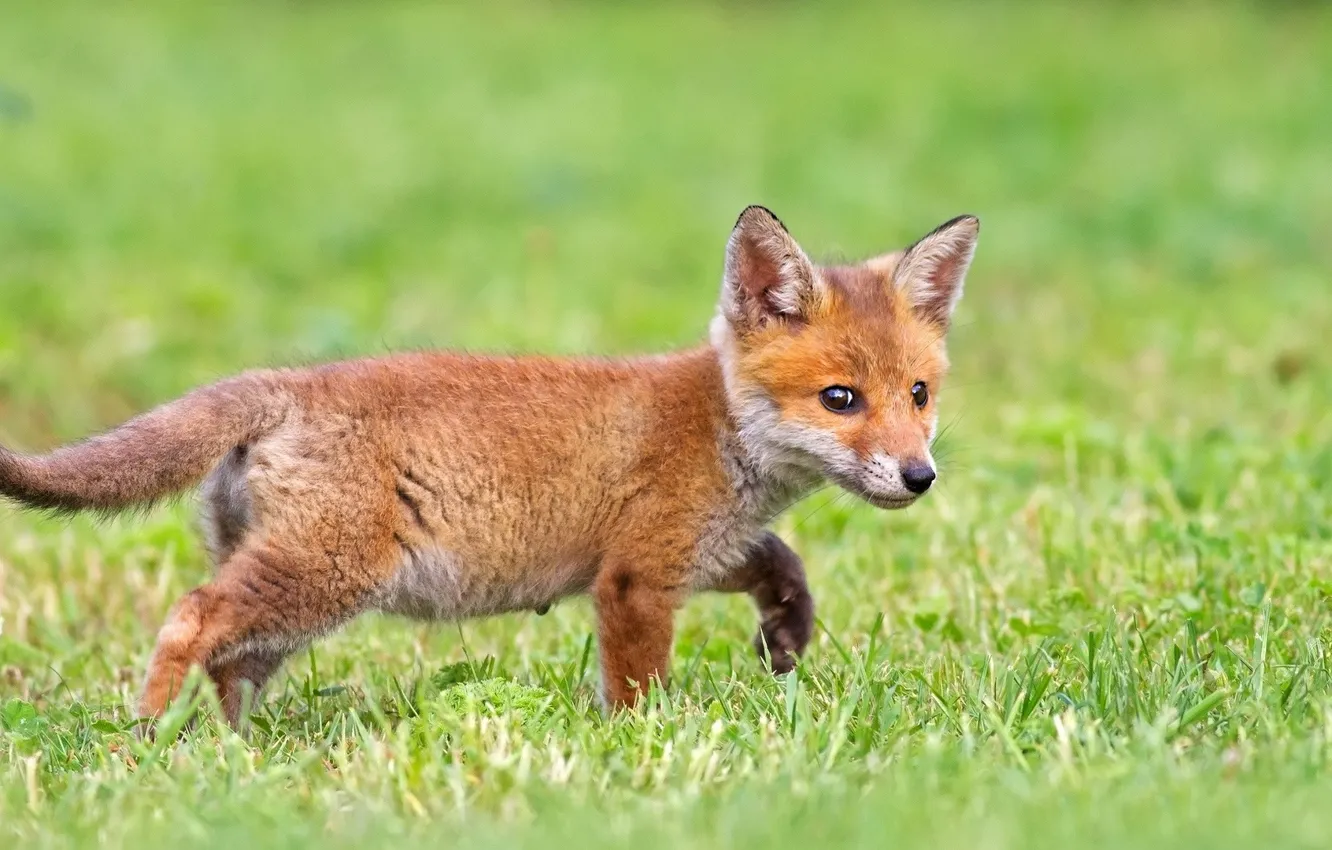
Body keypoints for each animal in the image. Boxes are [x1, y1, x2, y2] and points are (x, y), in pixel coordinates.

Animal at [0, 206, 978, 725]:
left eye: (919, 394)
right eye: (841, 399)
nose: (919, 477)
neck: (717, 428)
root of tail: (281, 383)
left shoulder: (696, 550)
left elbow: (782, 563)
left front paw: (786, 638)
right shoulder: (634, 578)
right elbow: (638, 689)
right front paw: (643, 751)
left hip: (293, 598)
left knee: (229, 662)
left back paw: (229, 751)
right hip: (322, 576)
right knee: (190, 620)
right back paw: (149, 737)